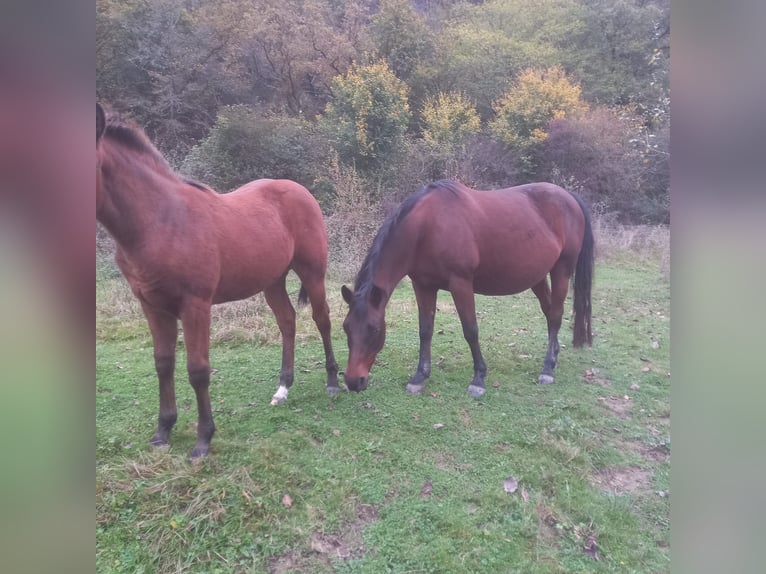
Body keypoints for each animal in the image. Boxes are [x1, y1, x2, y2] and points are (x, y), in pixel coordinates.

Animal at [96, 103, 340, 462]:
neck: (160, 222)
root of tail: (299, 190)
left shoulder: (195, 305)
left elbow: (198, 370)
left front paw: (203, 440)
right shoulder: (152, 306)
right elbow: (163, 363)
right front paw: (163, 431)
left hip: (312, 272)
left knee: (322, 319)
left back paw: (334, 381)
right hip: (272, 281)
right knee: (287, 322)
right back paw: (282, 388)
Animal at [340, 182, 592, 398]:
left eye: (374, 329)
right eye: (346, 328)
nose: (353, 381)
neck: (427, 227)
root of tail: (569, 197)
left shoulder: (460, 283)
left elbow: (471, 330)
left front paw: (479, 379)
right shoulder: (423, 285)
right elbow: (425, 330)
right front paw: (420, 376)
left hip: (561, 270)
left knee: (556, 315)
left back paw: (547, 369)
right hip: (538, 277)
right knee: (550, 314)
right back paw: (554, 357)